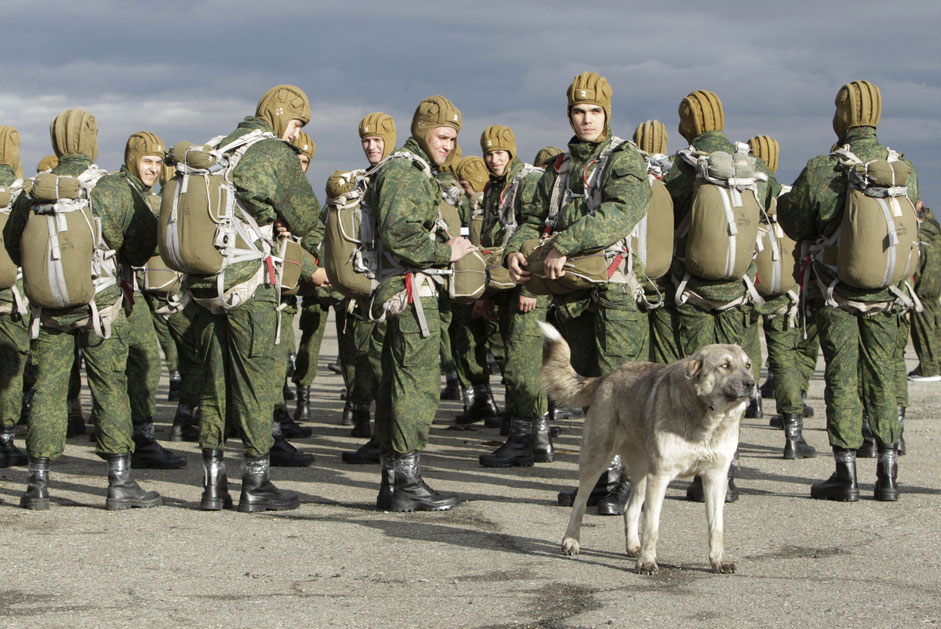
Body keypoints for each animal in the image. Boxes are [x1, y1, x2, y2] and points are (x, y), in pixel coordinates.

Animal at [540, 324, 752, 576]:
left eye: (748, 365)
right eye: (725, 365)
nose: (751, 384)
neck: (708, 418)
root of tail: (607, 376)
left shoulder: (715, 478)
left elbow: (716, 527)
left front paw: (718, 560)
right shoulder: (660, 477)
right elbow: (652, 526)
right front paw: (647, 562)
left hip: (642, 471)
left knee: (629, 509)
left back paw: (633, 546)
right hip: (597, 460)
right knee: (580, 503)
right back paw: (571, 541)